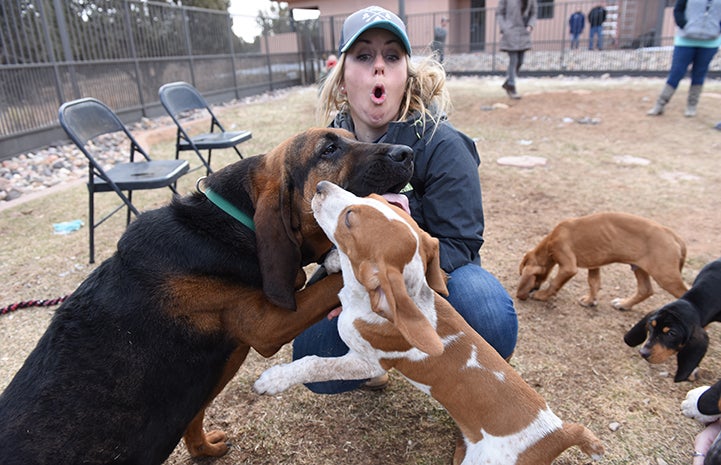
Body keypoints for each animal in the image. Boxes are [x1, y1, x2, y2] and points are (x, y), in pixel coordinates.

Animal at [0, 127, 410, 464]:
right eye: (329, 149)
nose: (406, 152)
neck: (233, 222)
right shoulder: (266, 325)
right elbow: (328, 286)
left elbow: (194, 412)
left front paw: (202, 450)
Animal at [256, 181, 604, 464]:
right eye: (369, 197)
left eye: (349, 218)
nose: (320, 185)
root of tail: (559, 433)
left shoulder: (366, 362)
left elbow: (314, 363)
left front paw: (274, 379)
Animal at [516, 212, 688, 310]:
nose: (533, 289)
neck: (550, 241)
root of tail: (674, 236)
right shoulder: (594, 264)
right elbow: (594, 283)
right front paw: (590, 301)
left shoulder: (568, 266)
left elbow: (554, 283)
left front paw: (542, 296)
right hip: (639, 267)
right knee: (645, 290)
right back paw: (624, 305)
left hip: (665, 276)